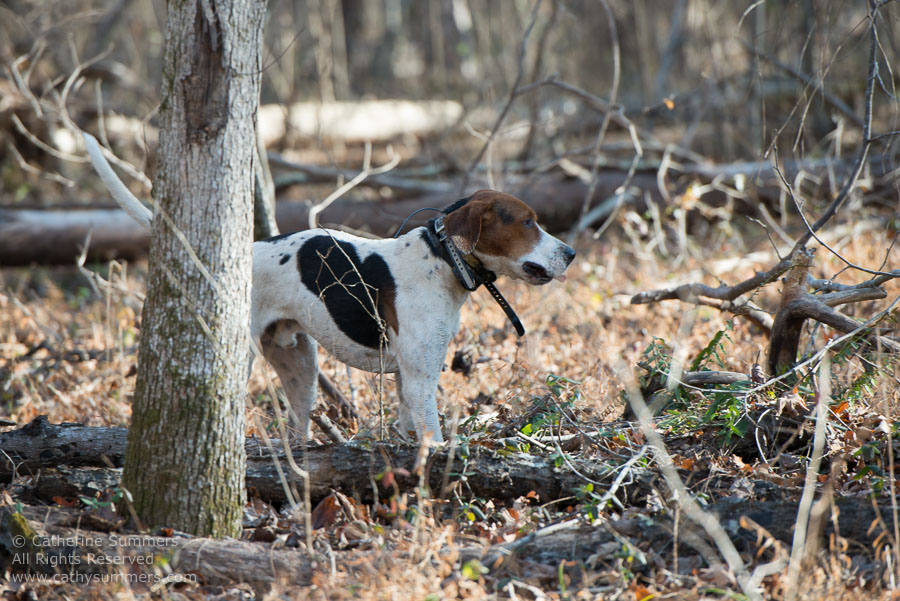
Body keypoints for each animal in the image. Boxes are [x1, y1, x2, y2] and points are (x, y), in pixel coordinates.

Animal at [81, 134, 572, 442]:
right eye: (528, 222)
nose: (569, 253)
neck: (440, 259)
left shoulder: (407, 381)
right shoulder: (420, 379)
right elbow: (432, 439)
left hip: (301, 365)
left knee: (297, 429)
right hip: (245, 356)